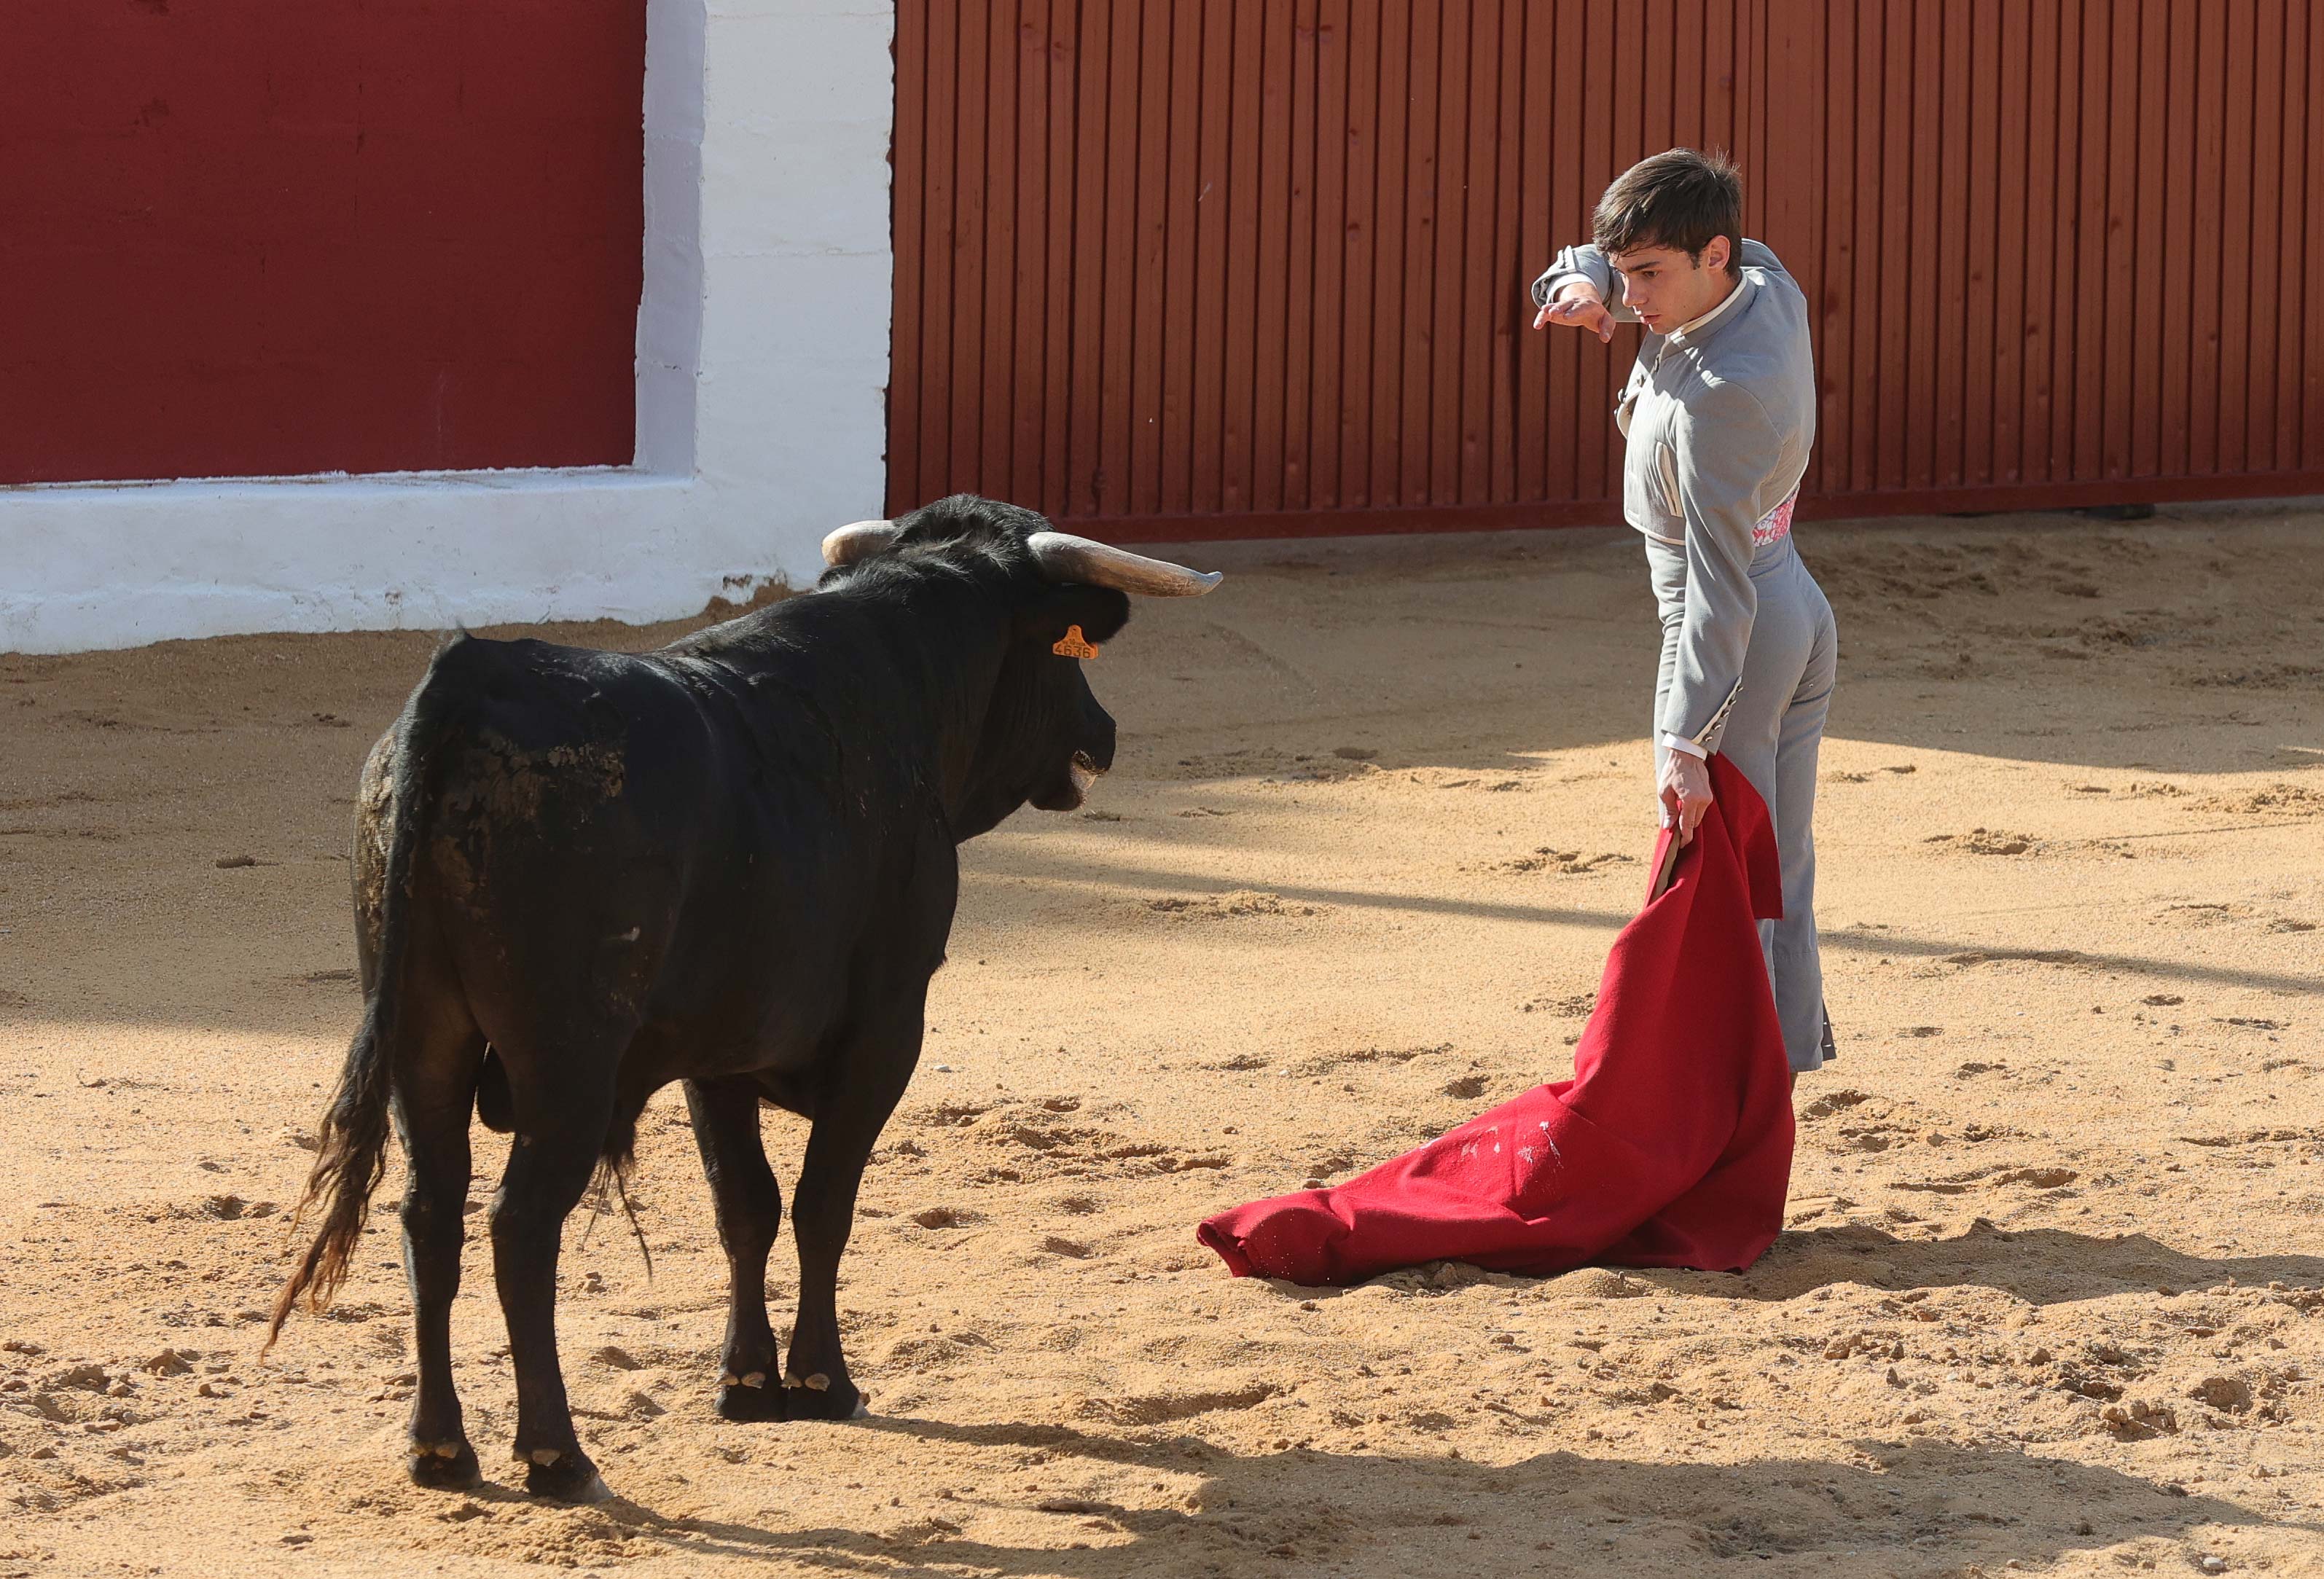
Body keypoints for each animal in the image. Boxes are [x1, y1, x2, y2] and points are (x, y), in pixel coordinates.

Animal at [266, 490, 1226, 1495]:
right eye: (1064, 653)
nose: (1104, 733)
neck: (908, 682)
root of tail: (473, 679)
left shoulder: (715, 1053)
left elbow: (746, 1207)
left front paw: (745, 1379)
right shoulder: (888, 1028)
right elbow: (821, 1204)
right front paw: (823, 1380)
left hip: (424, 1036)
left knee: (430, 1211)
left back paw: (440, 1445)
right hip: (568, 1062)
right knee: (520, 1224)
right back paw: (558, 1454)